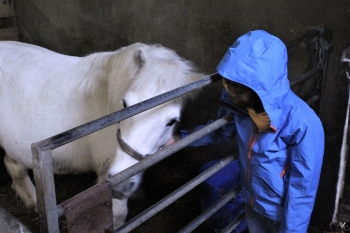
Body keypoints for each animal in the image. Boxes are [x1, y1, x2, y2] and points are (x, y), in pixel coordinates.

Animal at [0, 41, 205, 228]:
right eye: (125, 104)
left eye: (171, 121)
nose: (122, 186)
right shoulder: (106, 174)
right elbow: (117, 215)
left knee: (13, 165)